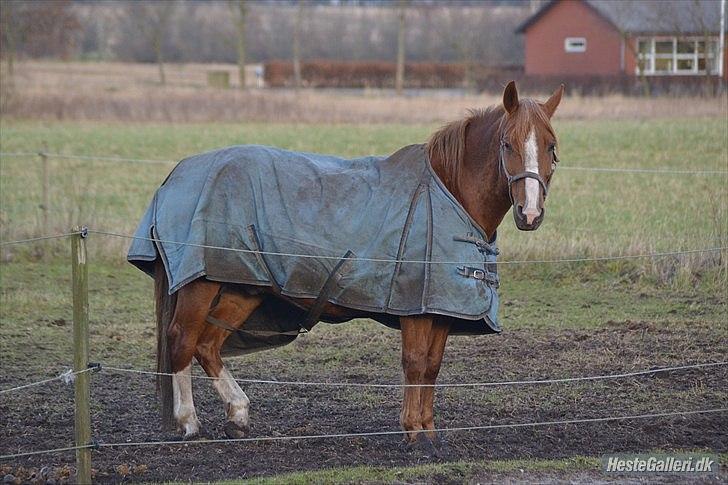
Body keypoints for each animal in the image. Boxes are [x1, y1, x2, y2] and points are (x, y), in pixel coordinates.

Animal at [152, 80, 564, 446]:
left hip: (243, 286)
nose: (530, 213)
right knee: (182, 340)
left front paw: (429, 431)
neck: (450, 194)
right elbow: (415, 363)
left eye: (551, 146)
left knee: (208, 345)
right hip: (200, 284)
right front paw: (413, 432)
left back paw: (238, 415)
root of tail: (176, 173)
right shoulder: (416, 309)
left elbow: (432, 366)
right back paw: (188, 422)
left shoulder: (442, 309)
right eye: (507, 144)